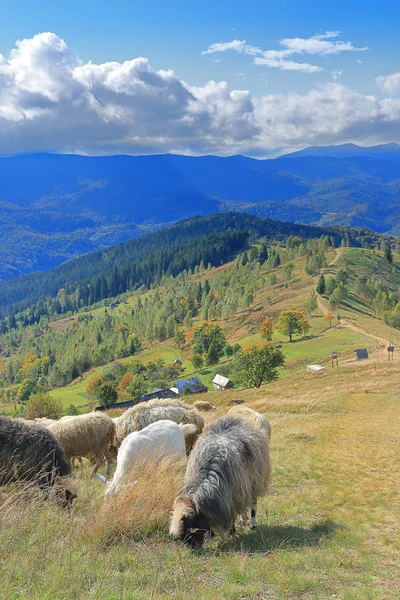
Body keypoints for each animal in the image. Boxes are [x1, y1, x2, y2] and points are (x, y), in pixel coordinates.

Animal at [170, 414, 270, 548]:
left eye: (192, 528)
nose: (193, 548)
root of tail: (234, 418)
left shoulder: (231, 495)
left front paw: (232, 533)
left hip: (254, 480)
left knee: (253, 504)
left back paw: (252, 525)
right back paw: (243, 520)